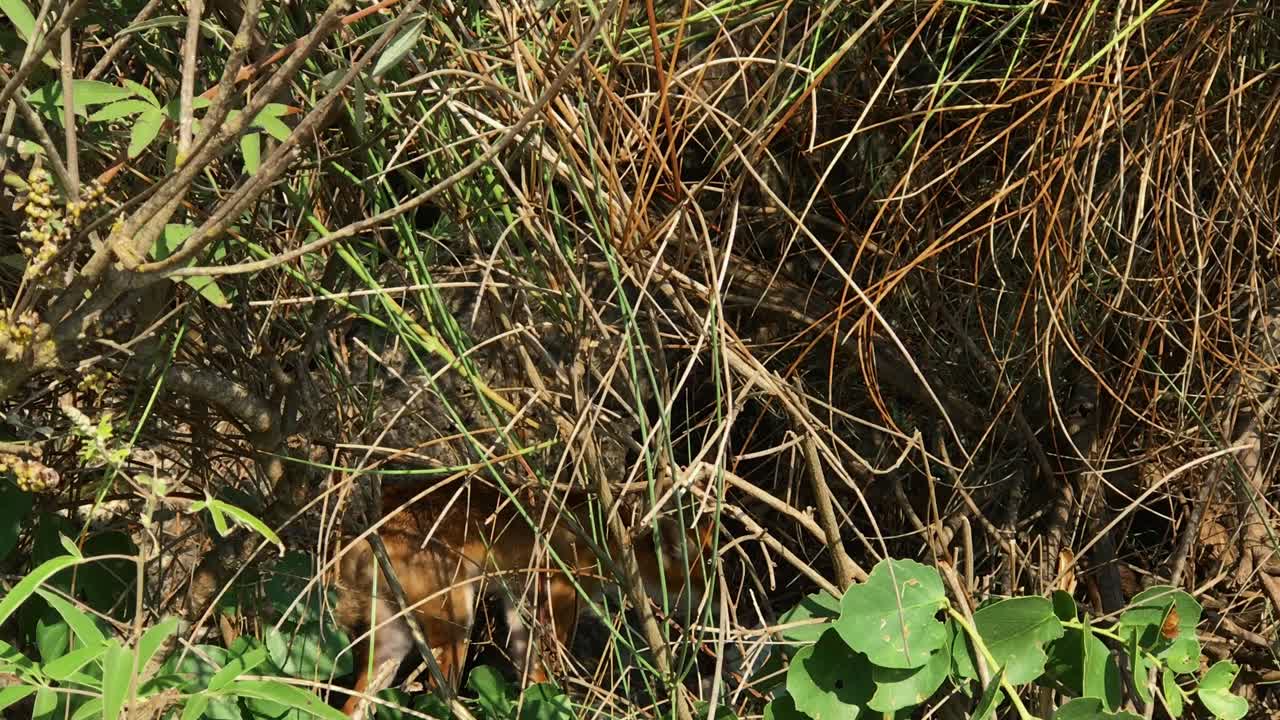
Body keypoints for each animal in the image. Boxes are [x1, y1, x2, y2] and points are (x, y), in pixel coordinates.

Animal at [331, 479, 713, 718]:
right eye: (708, 574)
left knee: (353, 704)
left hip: (391, 641)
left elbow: (530, 670)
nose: (720, 608)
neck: (604, 539)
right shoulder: (560, 591)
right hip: (456, 624)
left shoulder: (517, 602)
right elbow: (551, 665)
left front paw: (536, 701)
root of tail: (370, 528)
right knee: (437, 691)